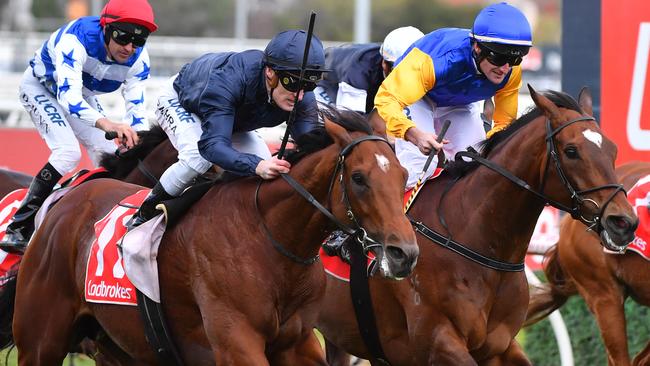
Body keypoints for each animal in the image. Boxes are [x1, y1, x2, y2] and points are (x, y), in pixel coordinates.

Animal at [2, 109, 418, 366]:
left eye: (402, 175)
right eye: (359, 178)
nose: (405, 253)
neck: (271, 239)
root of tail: (65, 203)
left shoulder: (298, 342)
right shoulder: (236, 343)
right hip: (41, 339)